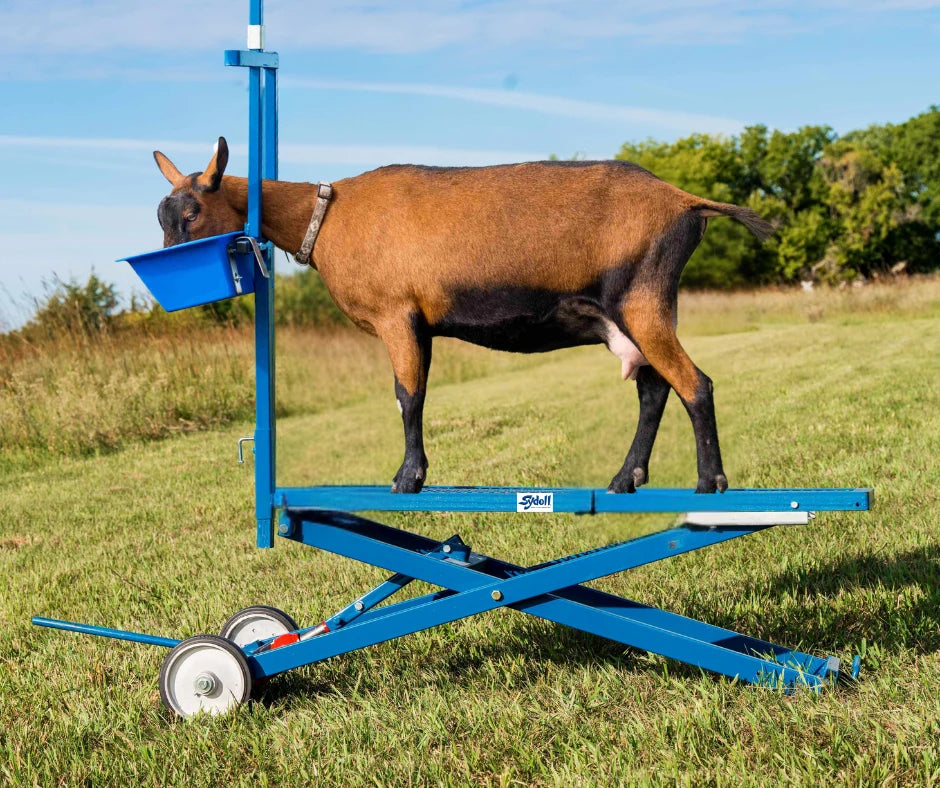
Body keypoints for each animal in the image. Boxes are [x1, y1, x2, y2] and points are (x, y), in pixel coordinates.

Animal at [154, 137, 773, 494]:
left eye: (192, 212)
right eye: (162, 215)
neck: (328, 218)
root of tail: (685, 202)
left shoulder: (397, 315)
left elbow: (408, 397)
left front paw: (408, 478)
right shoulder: (418, 324)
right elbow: (414, 395)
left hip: (642, 299)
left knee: (695, 384)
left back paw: (710, 482)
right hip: (629, 315)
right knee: (654, 388)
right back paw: (627, 478)